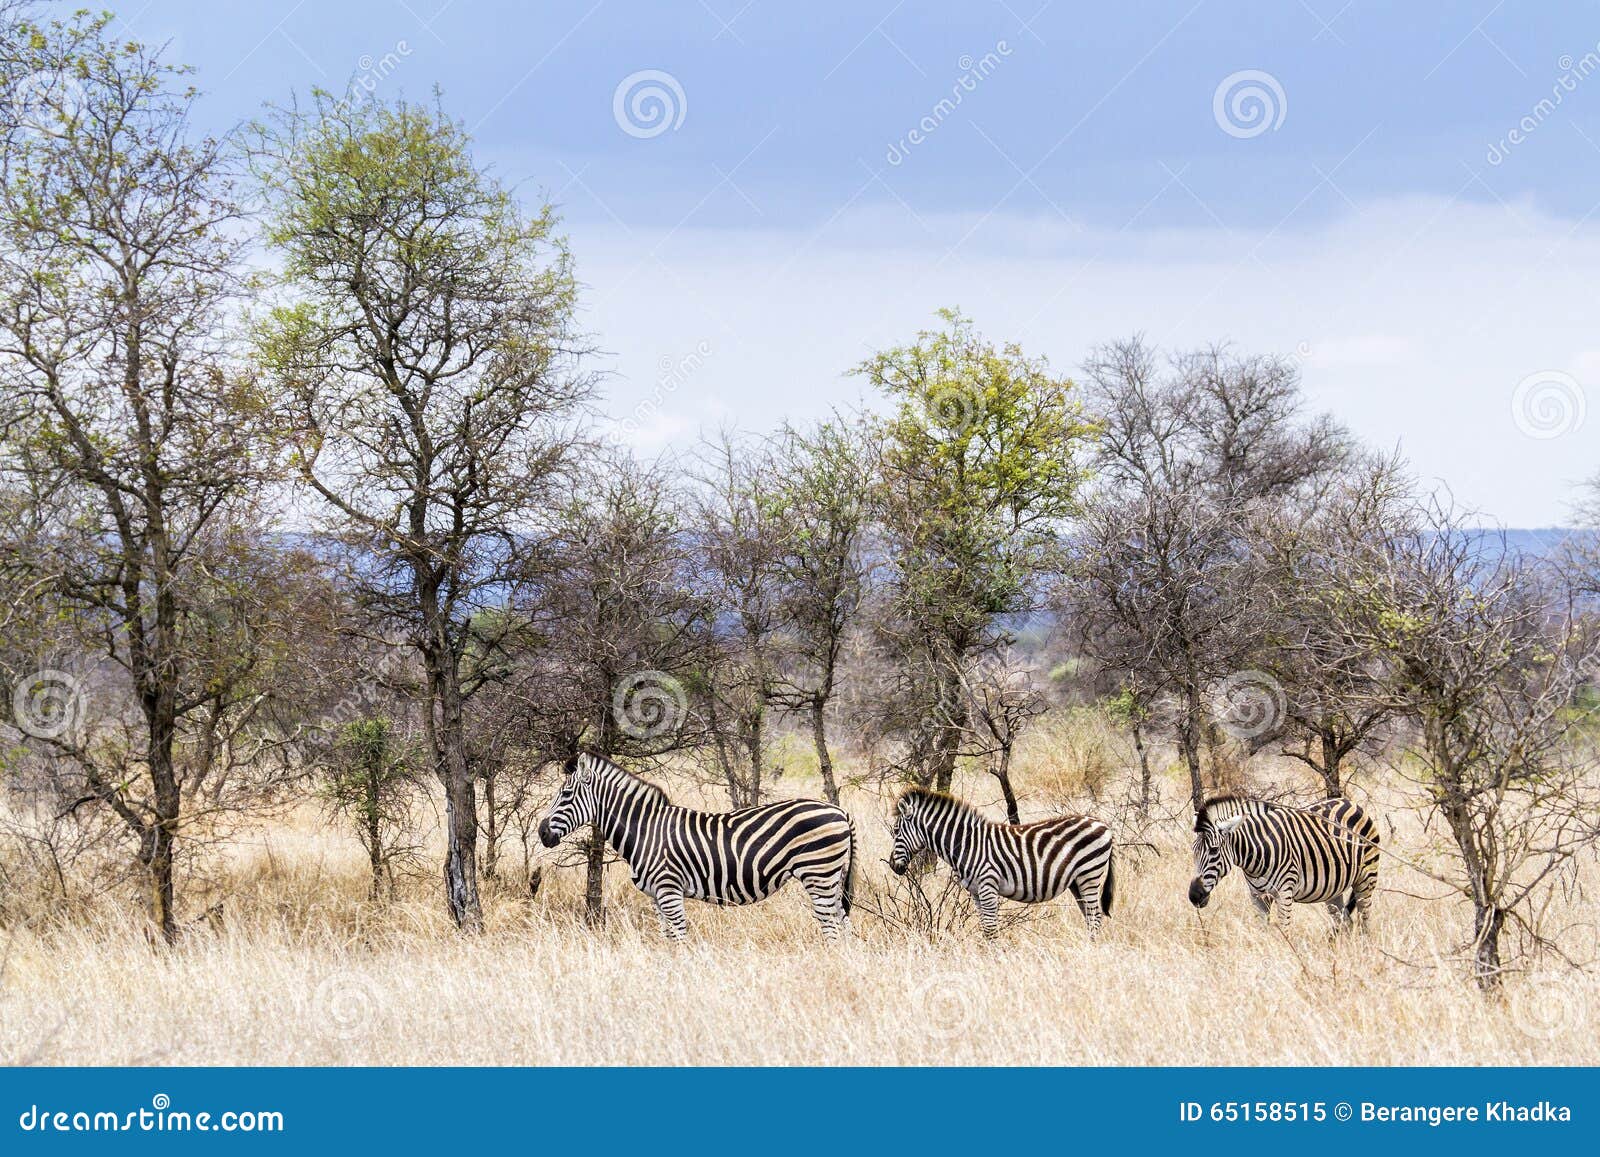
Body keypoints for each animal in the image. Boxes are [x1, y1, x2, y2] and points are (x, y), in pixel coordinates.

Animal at [537, 755, 857, 947]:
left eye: (566, 794)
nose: (542, 833)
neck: (644, 830)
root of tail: (839, 810)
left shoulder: (669, 889)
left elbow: (679, 937)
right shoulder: (656, 896)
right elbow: (667, 939)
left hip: (818, 874)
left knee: (831, 926)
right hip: (831, 878)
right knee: (844, 923)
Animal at [883, 787, 1120, 940]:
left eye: (895, 831)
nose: (893, 866)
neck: (967, 844)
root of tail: (1103, 825)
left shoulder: (988, 885)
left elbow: (990, 928)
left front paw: (995, 961)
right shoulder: (975, 891)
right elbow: (985, 928)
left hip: (1089, 875)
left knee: (1095, 916)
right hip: (1076, 882)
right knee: (1089, 916)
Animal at [1190, 796, 1376, 934]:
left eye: (1214, 850)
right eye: (1193, 850)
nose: (1194, 896)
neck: (1256, 857)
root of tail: (1350, 802)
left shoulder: (1284, 893)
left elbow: (1284, 931)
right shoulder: (1257, 896)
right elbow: (1261, 931)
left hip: (1366, 878)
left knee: (1365, 922)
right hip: (1333, 889)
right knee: (1345, 922)